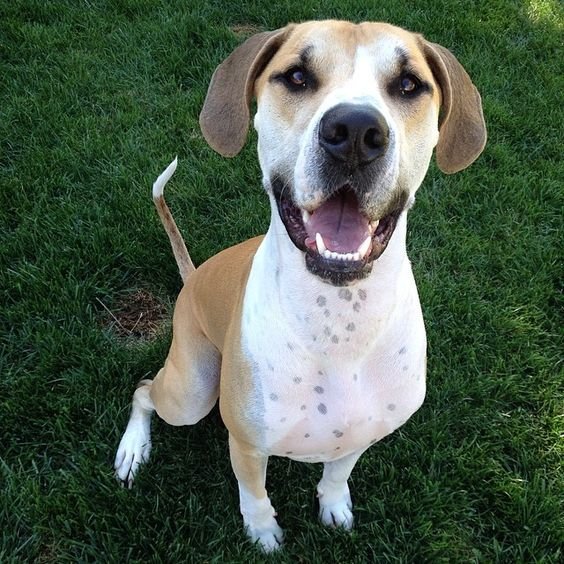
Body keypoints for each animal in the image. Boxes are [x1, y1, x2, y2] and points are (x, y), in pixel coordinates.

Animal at [113, 18, 484, 552]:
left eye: (409, 84)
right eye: (296, 77)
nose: (355, 132)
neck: (339, 317)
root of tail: (193, 276)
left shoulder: (359, 434)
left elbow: (337, 473)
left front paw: (333, 504)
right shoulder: (246, 443)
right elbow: (254, 494)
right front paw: (263, 533)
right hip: (192, 391)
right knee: (144, 390)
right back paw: (132, 450)